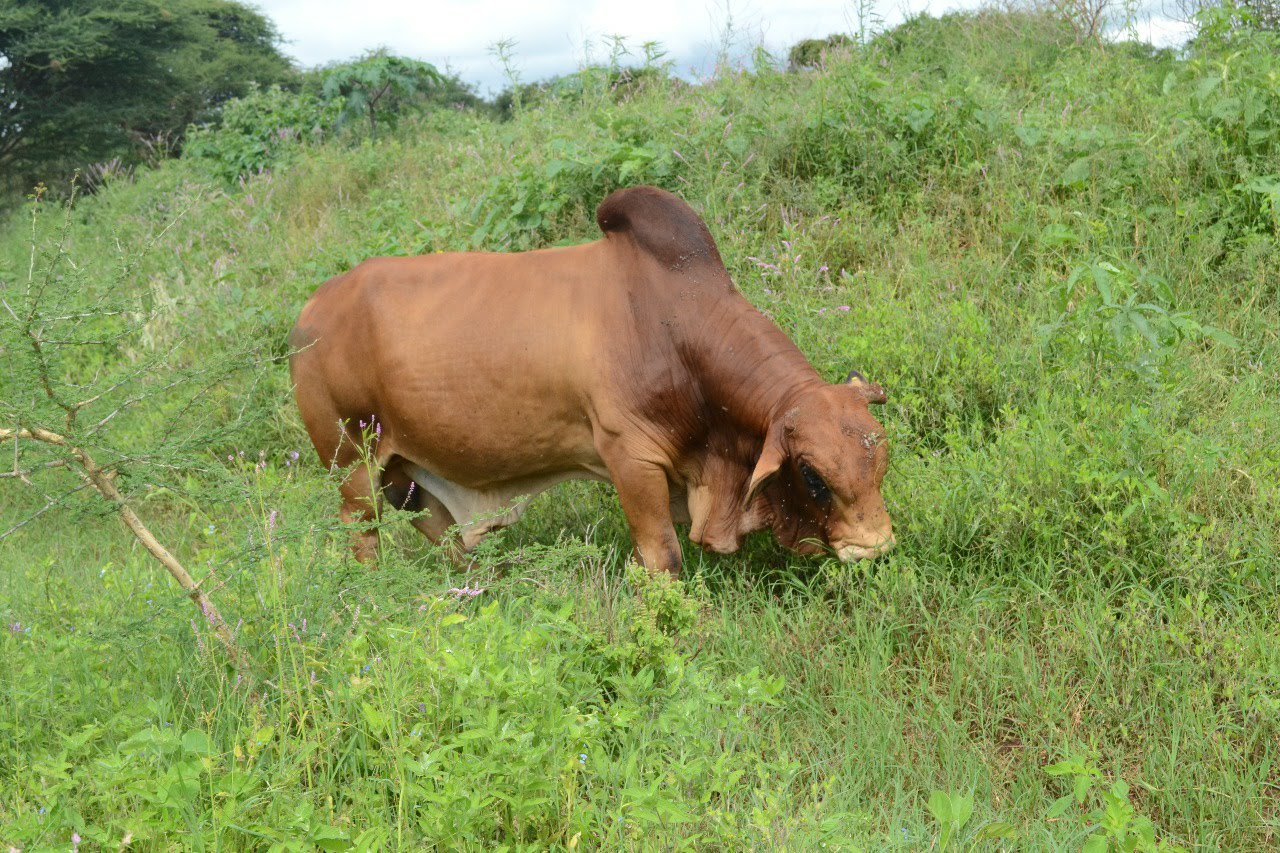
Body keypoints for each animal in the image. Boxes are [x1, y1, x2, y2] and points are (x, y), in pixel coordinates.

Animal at [289, 186, 895, 575]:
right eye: (813, 477)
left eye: (882, 462)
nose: (877, 549)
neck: (673, 328)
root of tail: (310, 310)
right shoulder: (630, 457)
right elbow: (663, 556)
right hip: (352, 464)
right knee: (363, 533)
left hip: (404, 470)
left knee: (440, 528)